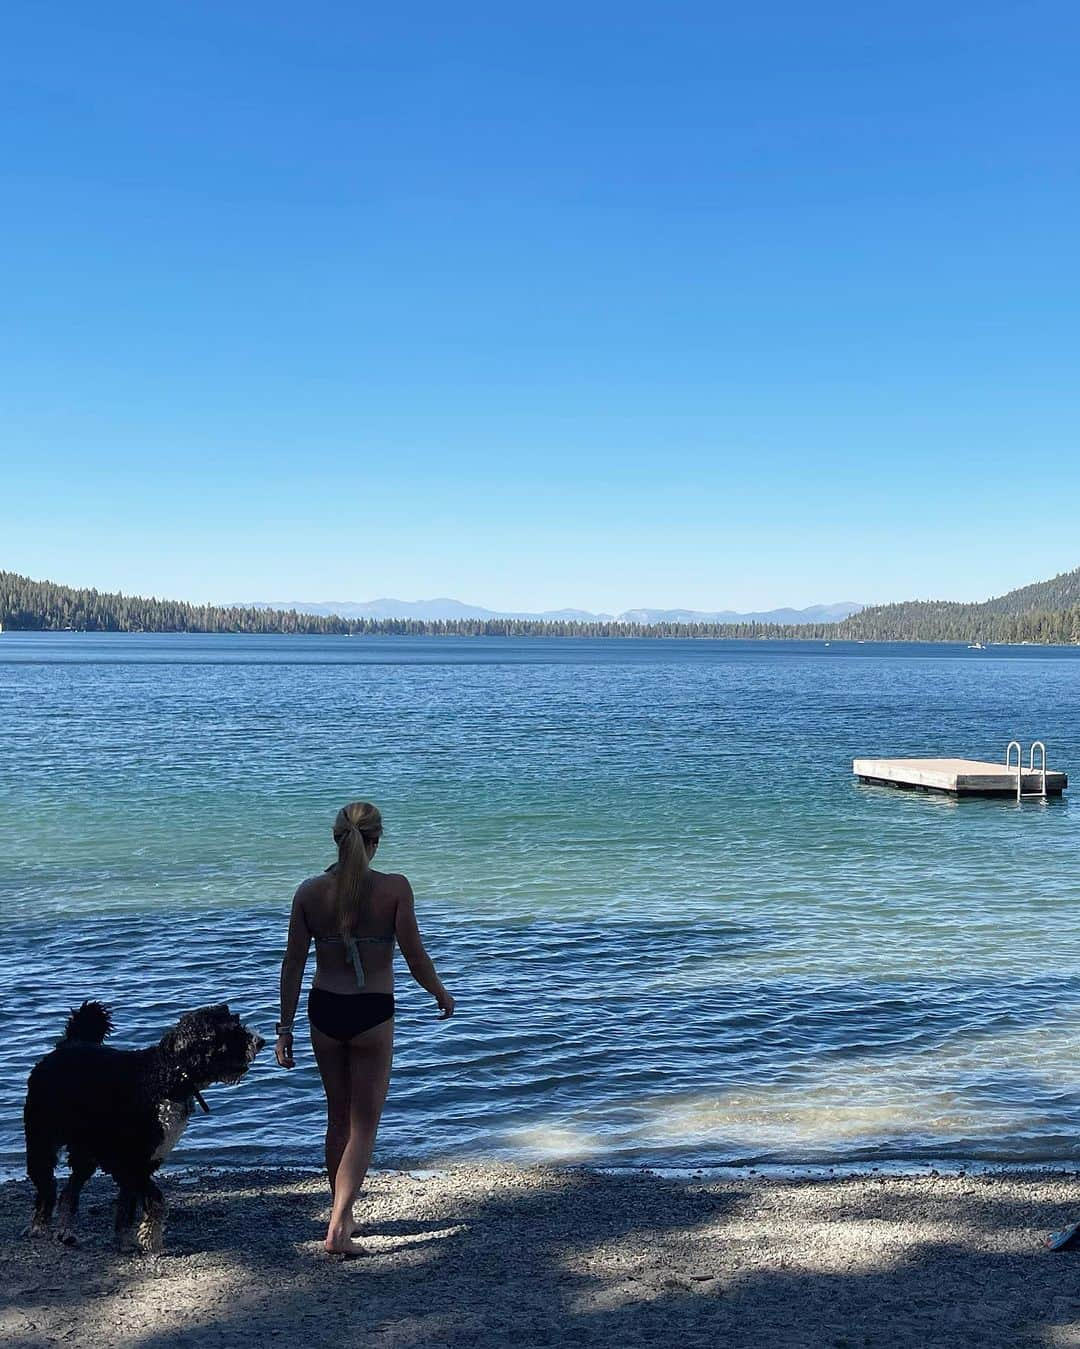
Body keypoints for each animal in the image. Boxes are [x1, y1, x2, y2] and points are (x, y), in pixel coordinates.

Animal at [24, 1003, 262, 1251]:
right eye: (232, 1032)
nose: (261, 1041)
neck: (167, 1076)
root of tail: (70, 1043)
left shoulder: (146, 1161)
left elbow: (127, 1207)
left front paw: (124, 1241)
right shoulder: (126, 1162)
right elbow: (155, 1199)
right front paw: (150, 1238)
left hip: (85, 1151)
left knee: (69, 1191)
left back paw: (65, 1231)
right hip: (42, 1141)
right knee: (47, 1187)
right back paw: (39, 1225)